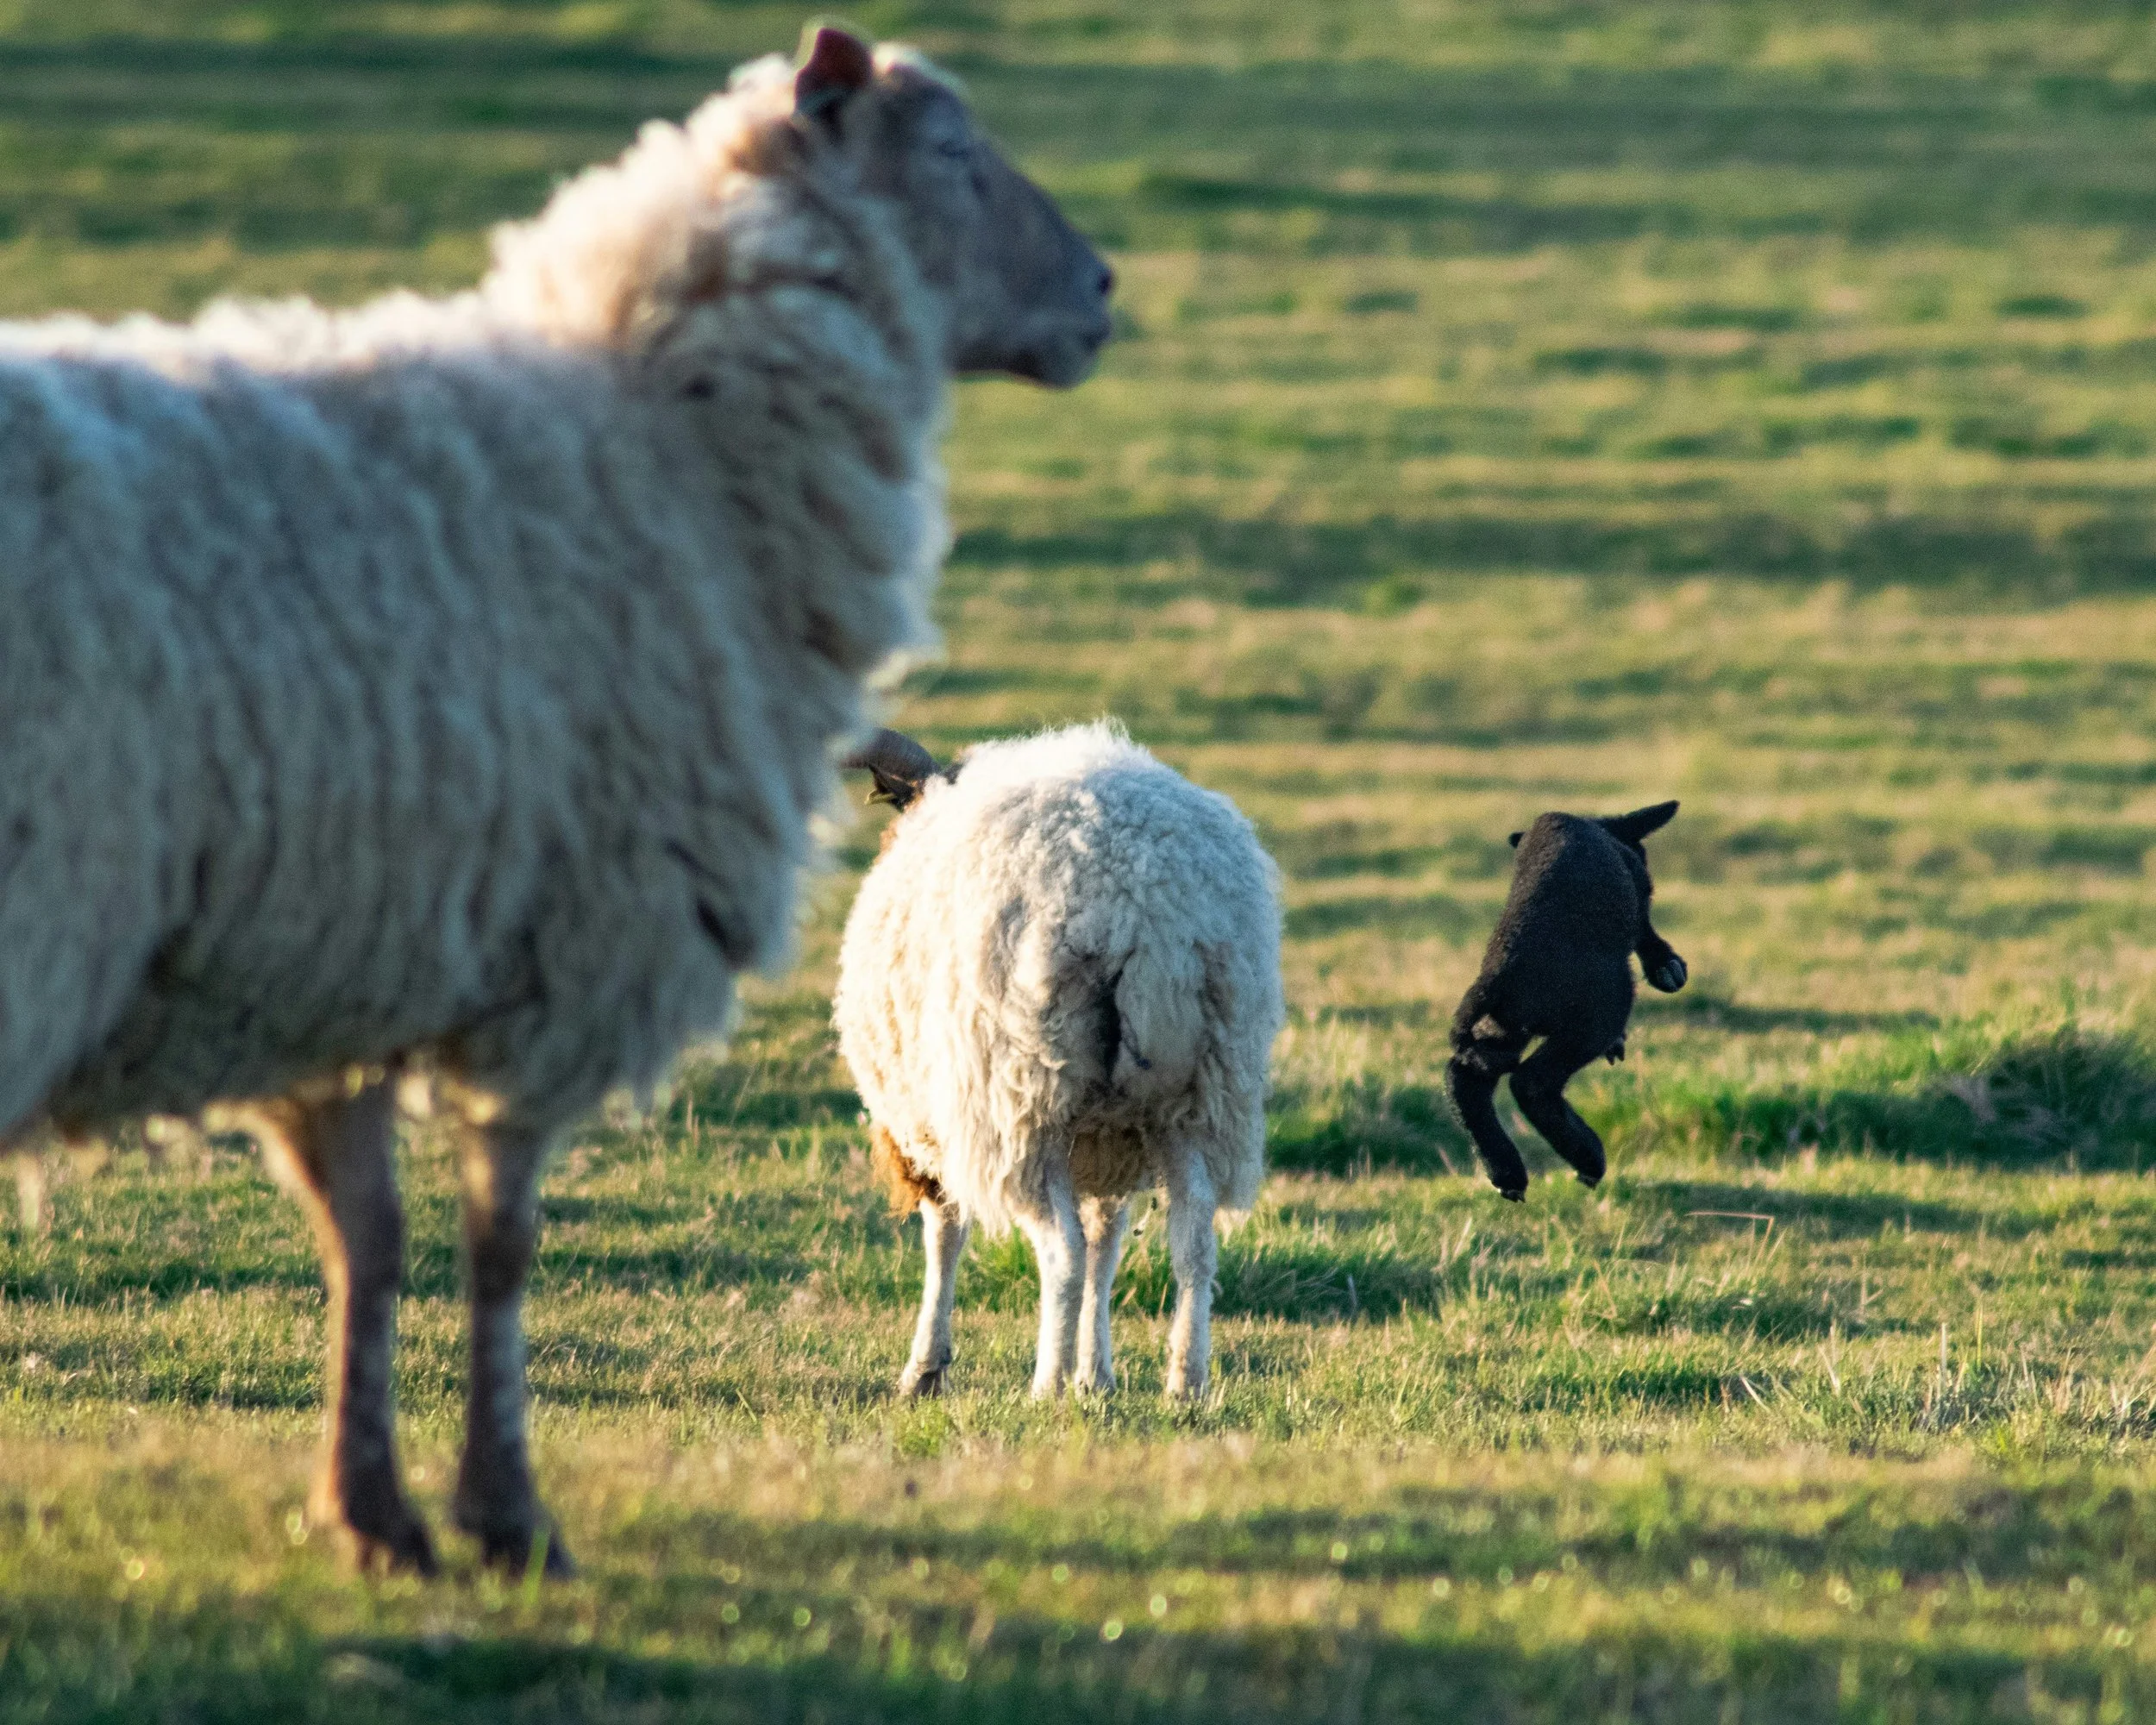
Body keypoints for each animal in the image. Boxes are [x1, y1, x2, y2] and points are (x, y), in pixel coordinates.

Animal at [0, 24, 1111, 1577]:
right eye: (952, 152)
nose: (1104, 293)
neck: (669, 439)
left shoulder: (353, 945)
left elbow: (367, 1243)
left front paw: (377, 1515)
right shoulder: (574, 934)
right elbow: (497, 1243)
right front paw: (503, 1511)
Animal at [833, 724, 1284, 1401]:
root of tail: (1139, 903)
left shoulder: (928, 1123)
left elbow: (946, 1233)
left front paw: (926, 1370)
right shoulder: (1107, 1139)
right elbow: (1108, 1243)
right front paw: (1095, 1375)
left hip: (1020, 1098)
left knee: (1061, 1249)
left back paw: (1044, 1385)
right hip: (1200, 1094)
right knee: (1193, 1241)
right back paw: (1186, 1381)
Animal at [1445, 803, 1687, 1200]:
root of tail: (1498, 978)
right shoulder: (1638, 891)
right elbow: (1643, 927)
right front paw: (1666, 967)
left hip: (1503, 1027)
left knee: (1465, 1077)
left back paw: (1507, 1173)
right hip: (1595, 1017)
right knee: (1531, 1082)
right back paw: (1589, 1160)